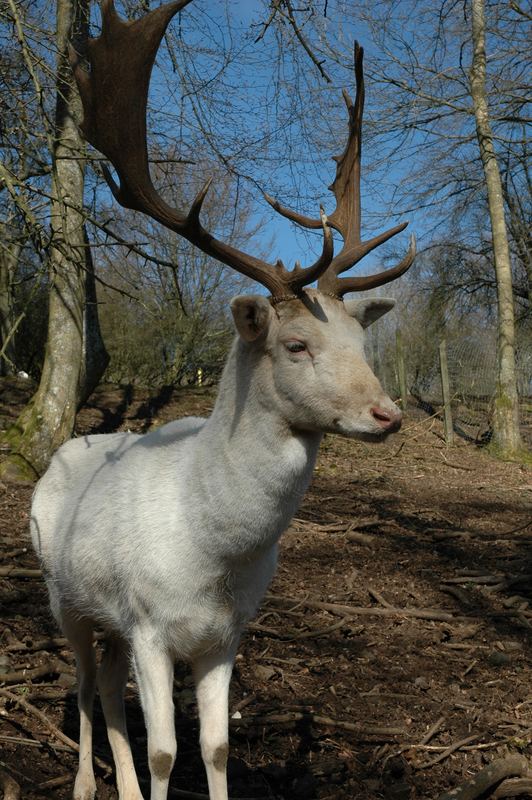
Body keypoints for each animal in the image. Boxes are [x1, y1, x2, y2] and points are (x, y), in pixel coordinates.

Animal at [32, 1, 416, 800]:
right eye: (295, 344)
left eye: (361, 342)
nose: (387, 414)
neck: (211, 558)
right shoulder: (148, 621)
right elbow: (165, 751)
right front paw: (144, 777)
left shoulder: (226, 635)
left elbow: (211, 747)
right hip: (65, 596)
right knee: (81, 685)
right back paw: (85, 784)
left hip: (108, 620)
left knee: (107, 689)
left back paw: (119, 788)